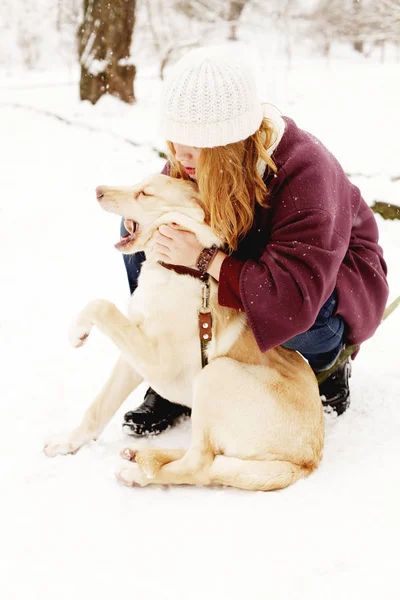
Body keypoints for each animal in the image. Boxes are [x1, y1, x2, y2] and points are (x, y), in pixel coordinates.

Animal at [44, 175, 324, 492]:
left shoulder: (158, 364)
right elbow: (98, 408)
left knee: (200, 466)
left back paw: (137, 473)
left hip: (216, 374)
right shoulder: (131, 359)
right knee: (209, 459)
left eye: (144, 193)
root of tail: (305, 462)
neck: (176, 270)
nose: (98, 191)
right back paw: (142, 455)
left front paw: (76, 331)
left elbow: (101, 306)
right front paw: (67, 442)